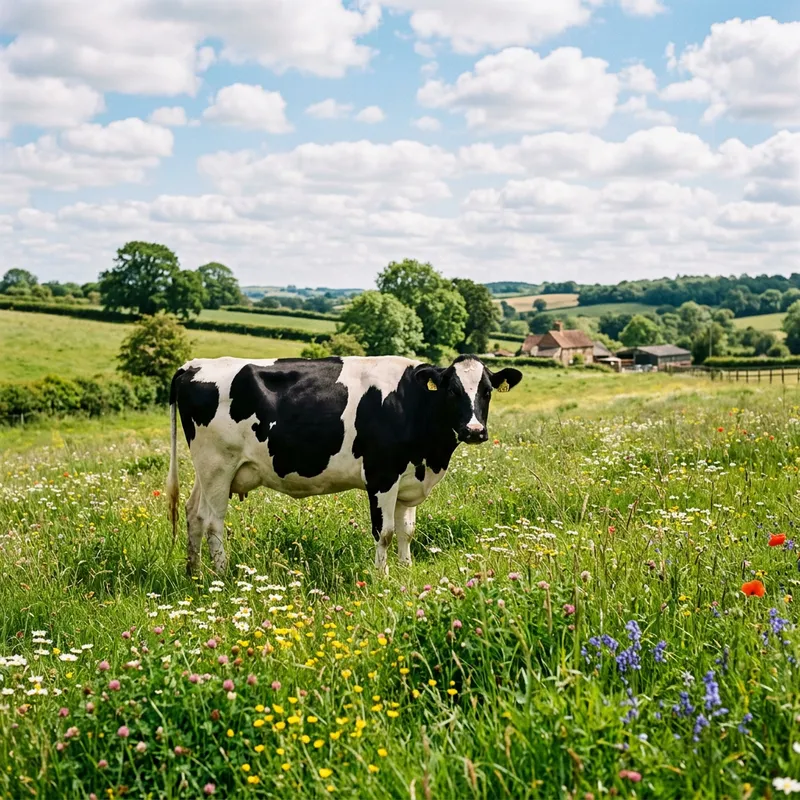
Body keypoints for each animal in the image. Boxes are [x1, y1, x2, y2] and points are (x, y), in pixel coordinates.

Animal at [166, 354, 523, 575]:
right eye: (452, 390)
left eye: (487, 391)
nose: (474, 431)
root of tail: (194, 365)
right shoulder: (382, 475)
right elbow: (385, 532)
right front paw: (383, 577)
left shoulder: (409, 480)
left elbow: (407, 531)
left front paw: (406, 572)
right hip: (217, 465)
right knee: (213, 522)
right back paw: (222, 578)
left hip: (207, 470)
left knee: (193, 513)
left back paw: (195, 574)